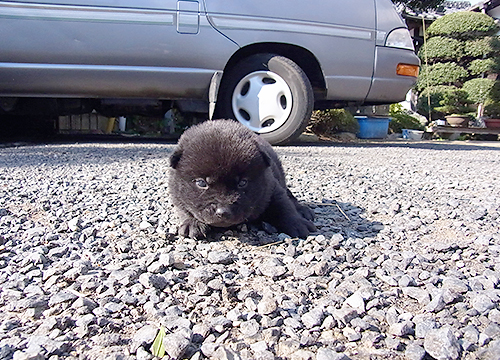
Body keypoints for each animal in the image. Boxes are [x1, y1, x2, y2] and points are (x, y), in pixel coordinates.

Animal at [170, 119, 314, 240]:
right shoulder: (176, 194)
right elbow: (184, 209)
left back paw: (303, 211)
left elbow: (283, 206)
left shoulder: (272, 189)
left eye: (242, 183)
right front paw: (192, 224)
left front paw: (297, 223)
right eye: (201, 183)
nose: (223, 211)